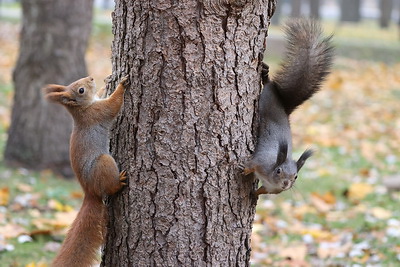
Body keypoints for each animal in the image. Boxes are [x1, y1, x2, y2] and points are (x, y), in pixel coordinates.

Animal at [43, 75, 128, 267]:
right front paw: (121, 84)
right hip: (103, 163)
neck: (83, 108)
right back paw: (119, 182)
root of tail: (90, 191)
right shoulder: (99, 112)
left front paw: (107, 83)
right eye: (81, 90)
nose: (91, 78)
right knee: (111, 187)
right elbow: (113, 105)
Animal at [244, 18, 334, 195]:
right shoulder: (261, 162)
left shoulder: (272, 189)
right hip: (265, 99)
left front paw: (254, 194)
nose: (286, 184)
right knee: (267, 85)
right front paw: (245, 170)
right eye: (279, 171)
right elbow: (252, 165)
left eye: (296, 176)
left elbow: (262, 191)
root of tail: (281, 102)